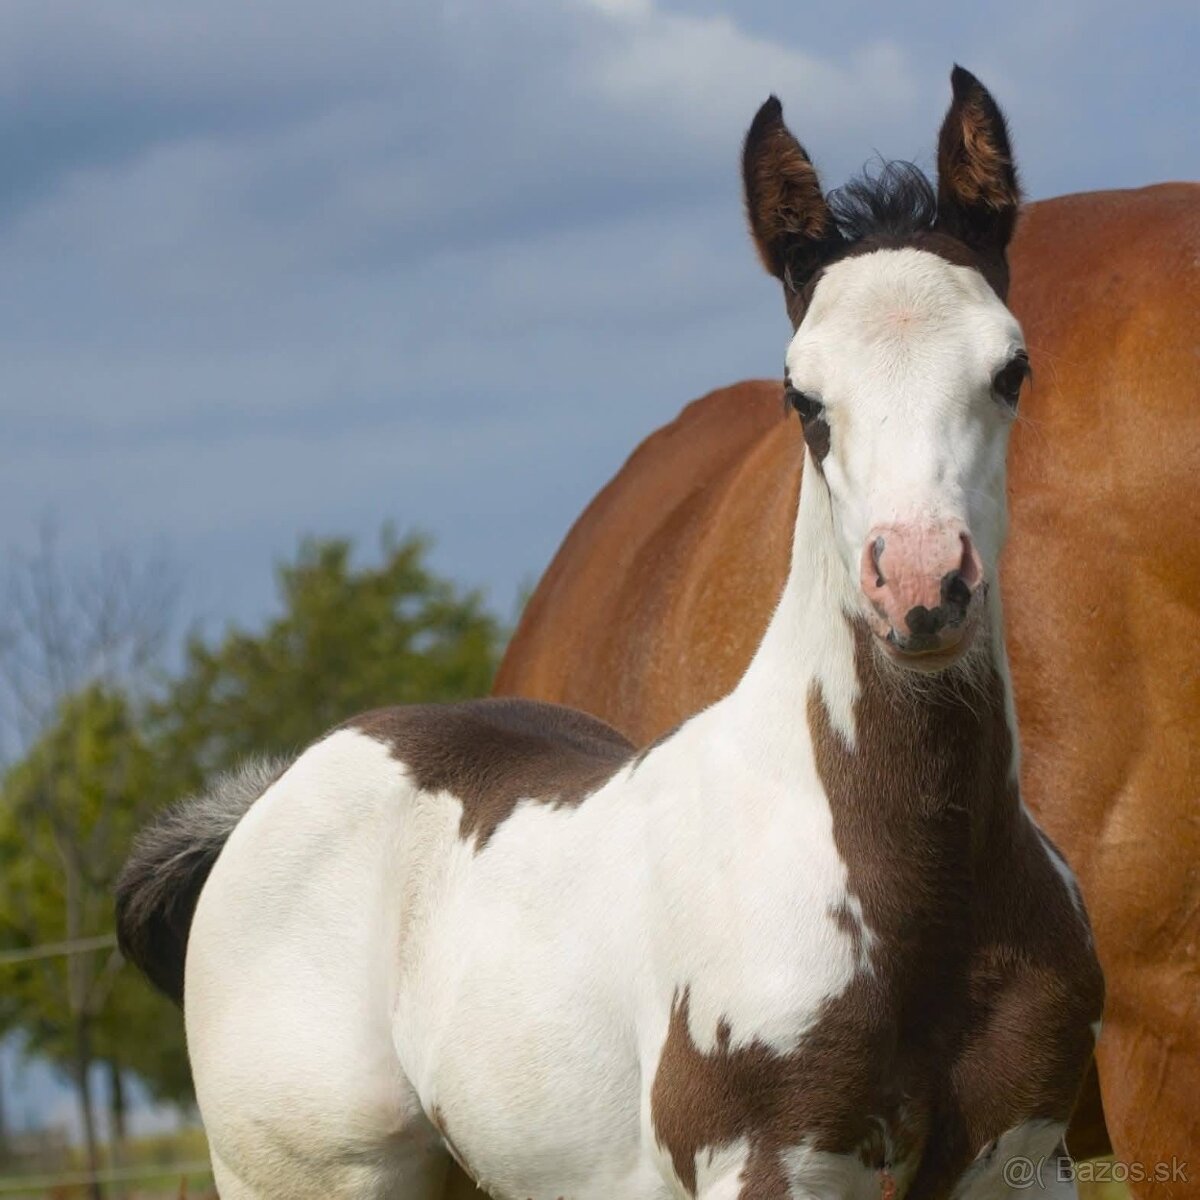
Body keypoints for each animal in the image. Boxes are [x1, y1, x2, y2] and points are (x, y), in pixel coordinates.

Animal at [118, 68, 1105, 1198]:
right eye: (801, 395)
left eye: (1011, 370)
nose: (921, 586)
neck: (915, 888)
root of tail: (266, 800)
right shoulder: (765, 1165)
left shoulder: (1023, 1160)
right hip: (306, 1176)